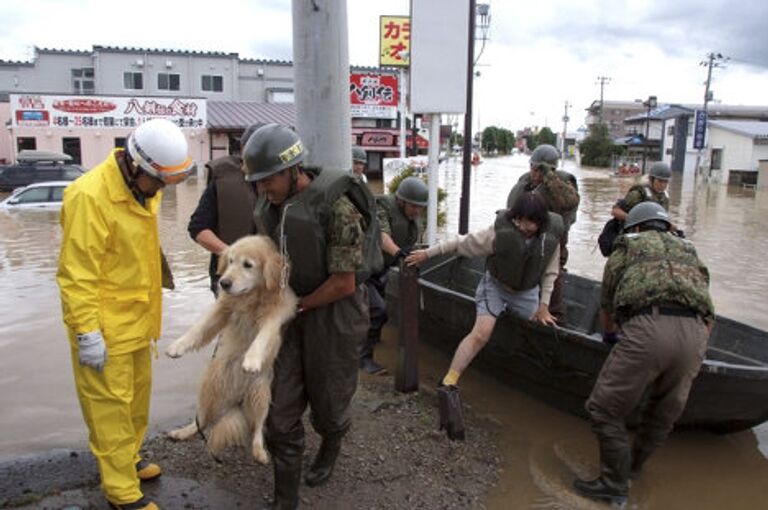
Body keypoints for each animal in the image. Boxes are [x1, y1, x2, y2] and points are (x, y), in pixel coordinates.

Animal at [165, 233, 296, 464]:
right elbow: (199, 327)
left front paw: (251, 359)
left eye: (248, 265)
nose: (224, 282)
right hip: (210, 384)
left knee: (257, 428)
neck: (250, 297)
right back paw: (182, 432)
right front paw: (178, 346)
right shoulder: (223, 308)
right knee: (202, 420)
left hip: (261, 393)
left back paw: (259, 451)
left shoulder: (277, 314)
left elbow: (262, 336)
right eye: (231, 261)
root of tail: (236, 398)